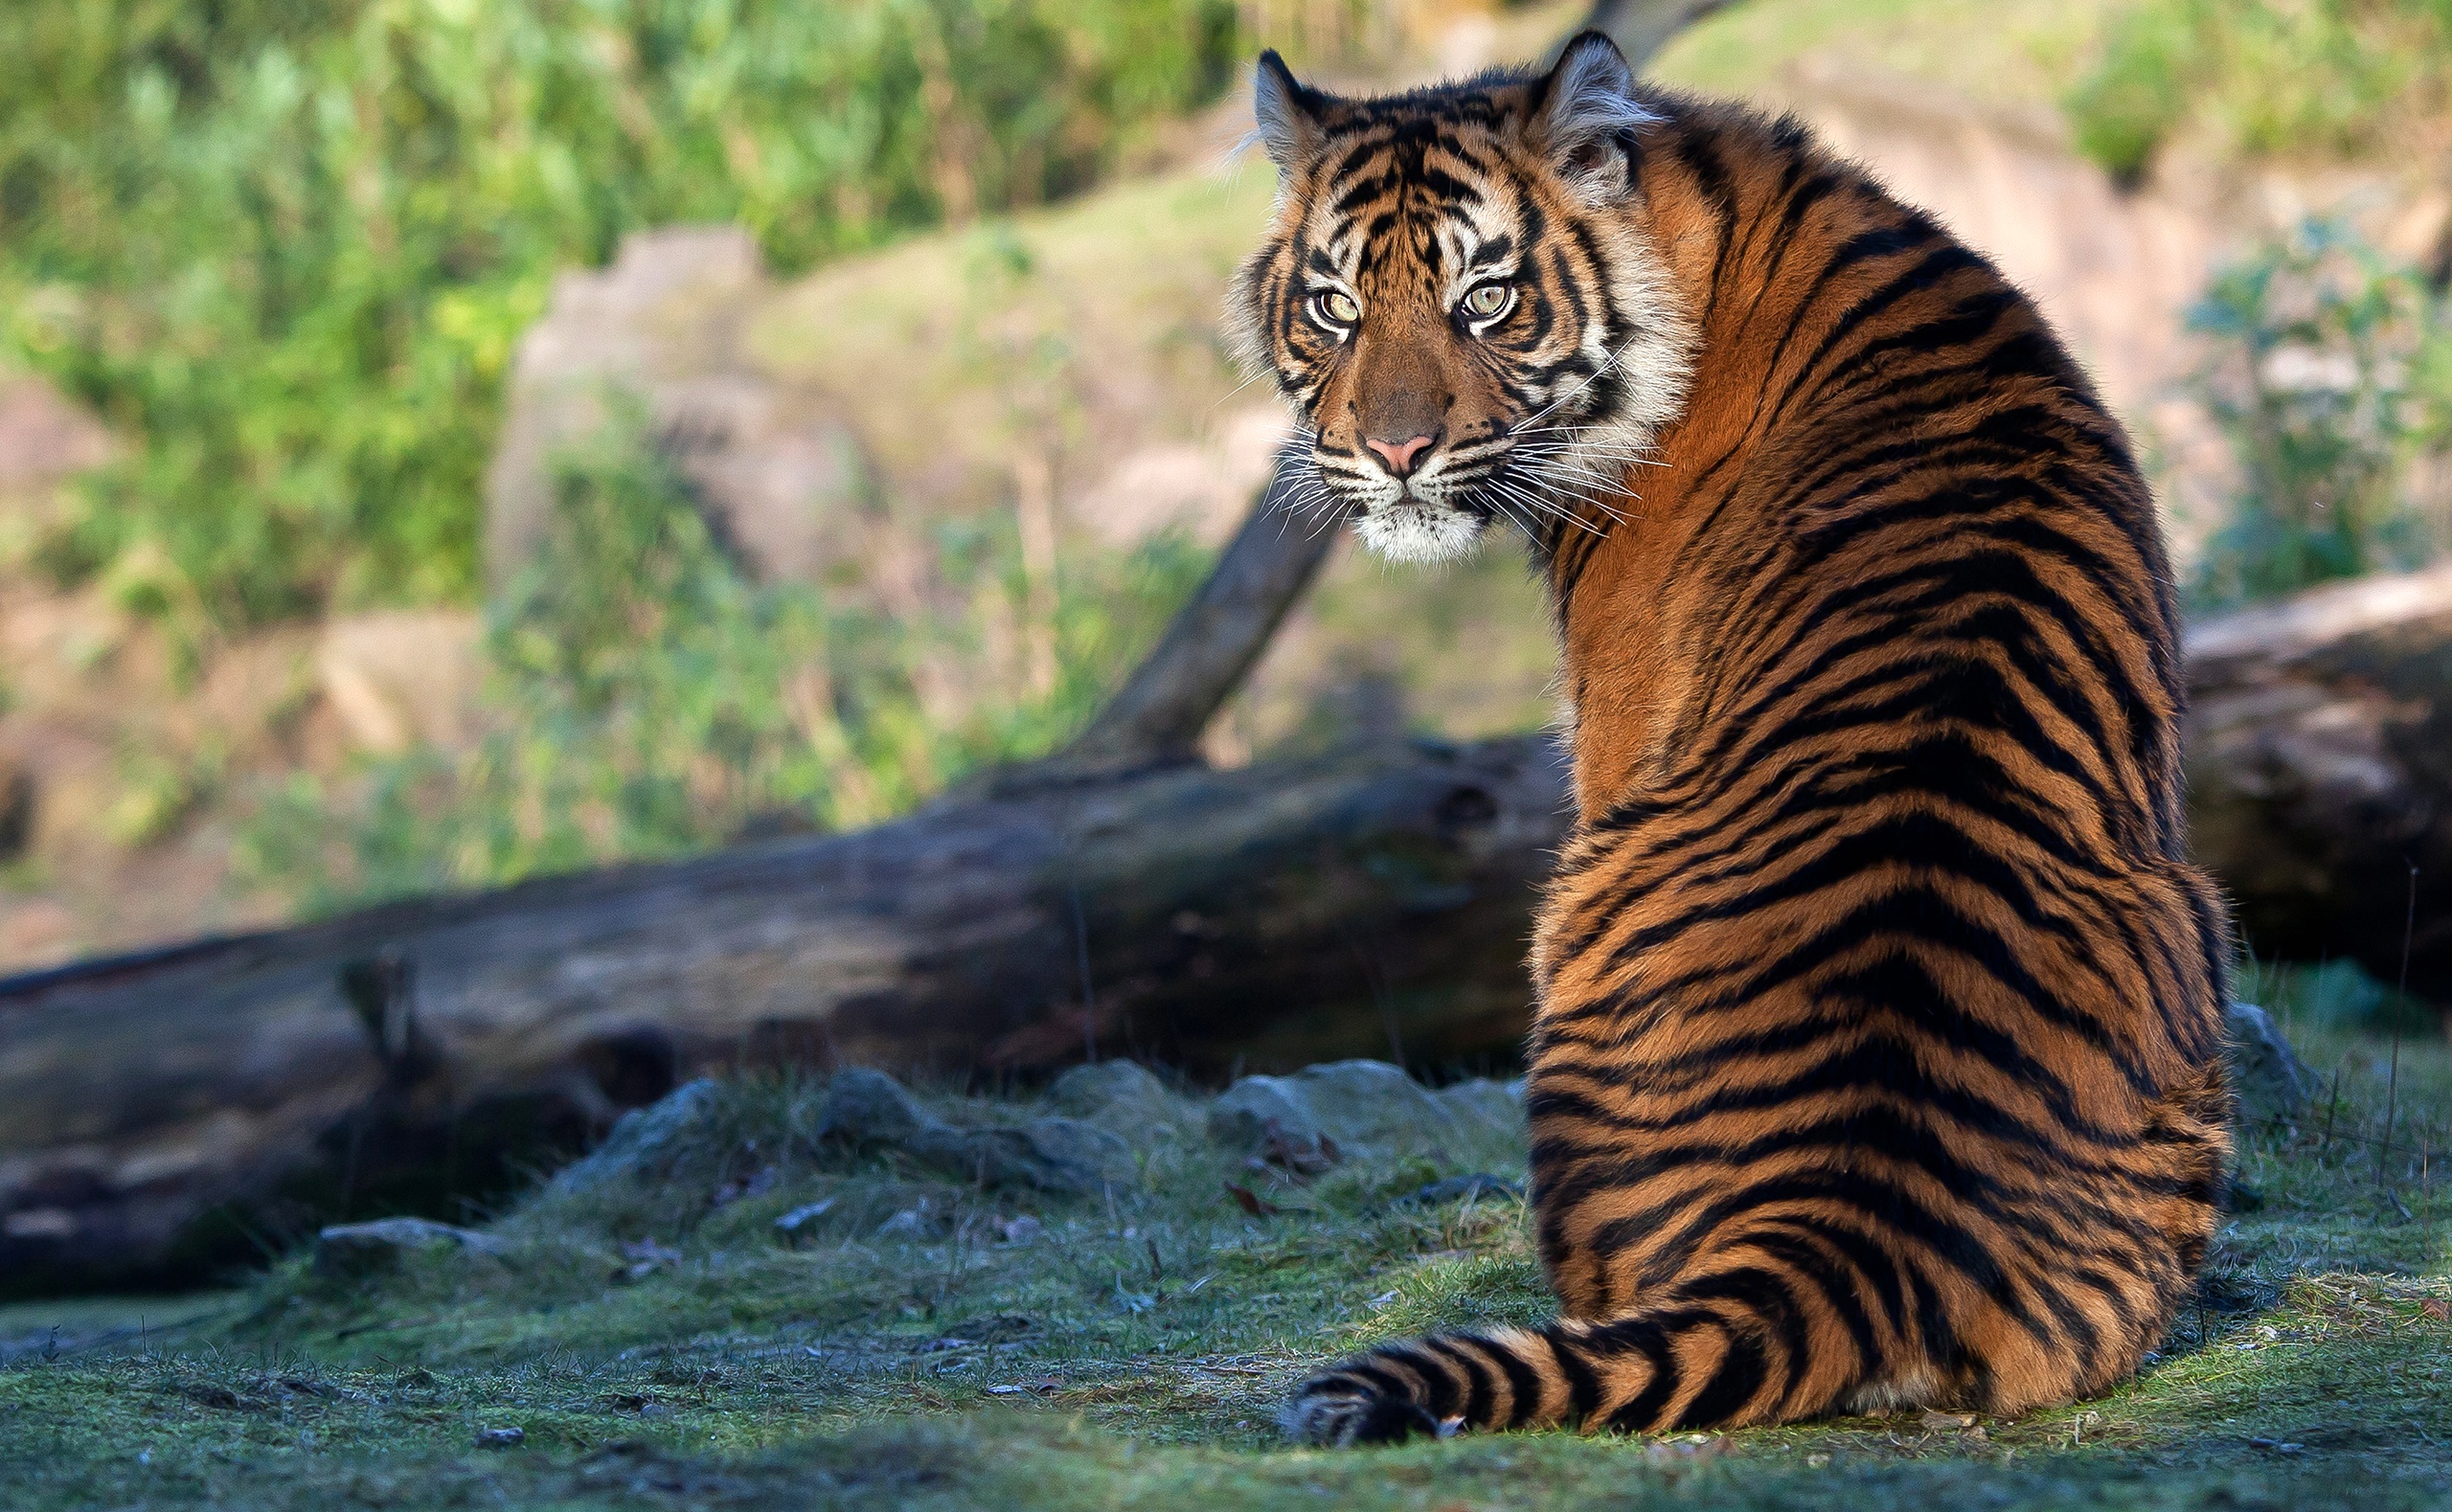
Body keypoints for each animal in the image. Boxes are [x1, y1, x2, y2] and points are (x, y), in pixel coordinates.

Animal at [1245, 32, 2245, 1440]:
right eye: (1334, 306)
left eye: (1487, 299)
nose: (1392, 453)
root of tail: (1846, 1231)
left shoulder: (1616, 715)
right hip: (2193, 930)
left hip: (1577, 906)